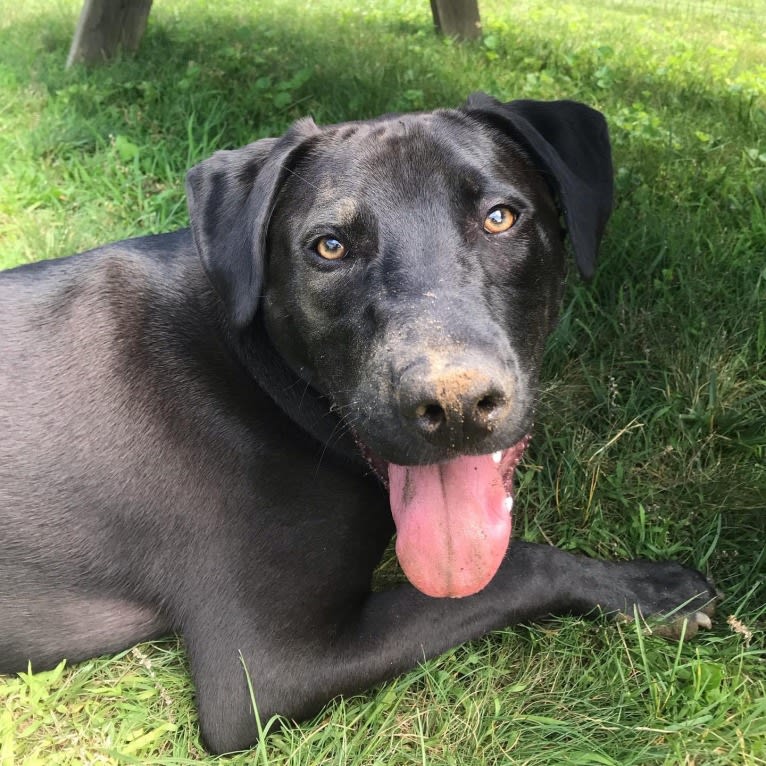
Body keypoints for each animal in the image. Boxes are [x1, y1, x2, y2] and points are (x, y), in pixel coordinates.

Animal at [3, 94, 716, 756]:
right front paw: (649, 587)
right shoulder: (268, 666)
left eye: (500, 217)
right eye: (330, 246)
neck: (258, 374)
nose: (455, 406)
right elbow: (519, 566)